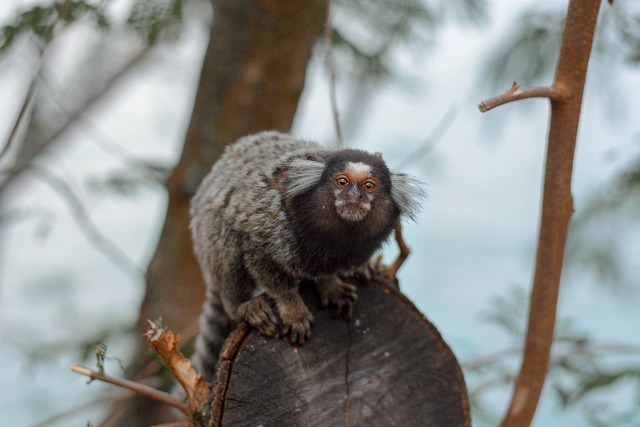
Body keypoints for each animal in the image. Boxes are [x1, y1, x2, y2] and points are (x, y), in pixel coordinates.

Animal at [190, 132, 424, 380]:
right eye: (342, 182)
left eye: (368, 186)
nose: (354, 196)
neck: (340, 235)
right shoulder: (269, 226)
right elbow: (262, 260)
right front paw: (293, 309)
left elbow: (326, 271)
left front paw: (330, 285)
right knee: (225, 240)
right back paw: (243, 307)